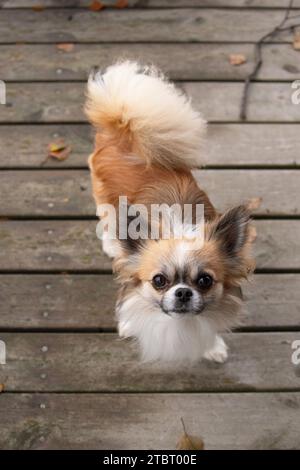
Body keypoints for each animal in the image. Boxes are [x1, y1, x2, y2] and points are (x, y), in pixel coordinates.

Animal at [85, 62, 254, 364]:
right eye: (159, 281)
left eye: (205, 281)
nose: (183, 292)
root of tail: (124, 126)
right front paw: (129, 324)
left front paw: (212, 346)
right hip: (104, 198)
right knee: (107, 219)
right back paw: (111, 243)